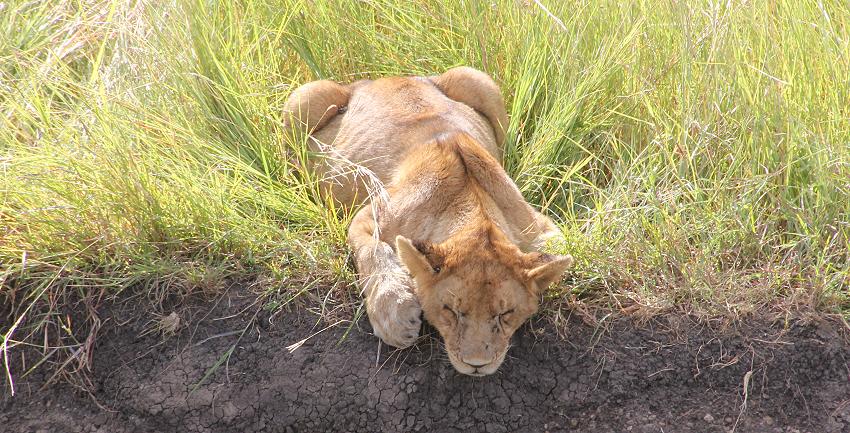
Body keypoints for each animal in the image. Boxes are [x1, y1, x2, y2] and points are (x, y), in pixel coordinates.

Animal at [284, 66, 568, 374]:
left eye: (505, 313)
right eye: (451, 311)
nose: (476, 365)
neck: (472, 203)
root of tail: (380, 78)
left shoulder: (540, 228)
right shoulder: (370, 214)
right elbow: (373, 250)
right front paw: (395, 312)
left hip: (476, 79)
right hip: (302, 97)